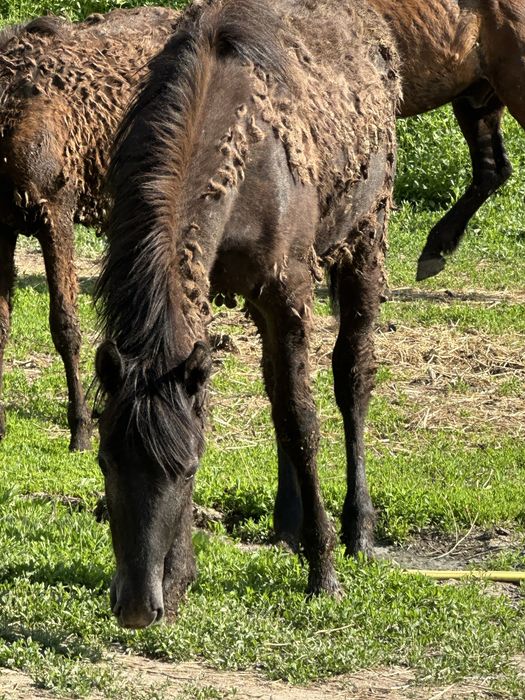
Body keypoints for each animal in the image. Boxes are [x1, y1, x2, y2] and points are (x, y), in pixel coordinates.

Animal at [94, 0, 400, 628]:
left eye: (188, 471)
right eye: (106, 462)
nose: (137, 606)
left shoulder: (290, 294)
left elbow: (304, 421)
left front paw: (324, 572)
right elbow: (256, 407)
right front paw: (181, 577)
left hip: (366, 239)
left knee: (351, 379)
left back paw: (358, 530)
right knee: (276, 390)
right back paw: (287, 525)